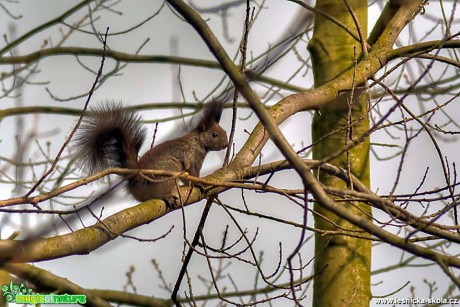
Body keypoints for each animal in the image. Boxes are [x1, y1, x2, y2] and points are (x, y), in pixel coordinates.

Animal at [71, 101, 228, 205]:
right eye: (214, 134)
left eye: (225, 131)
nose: (226, 144)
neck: (198, 141)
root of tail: (136, 175)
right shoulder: (191, 156)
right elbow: (191, 174)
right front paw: (199, 183)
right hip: (168, 169)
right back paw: (164, 196)